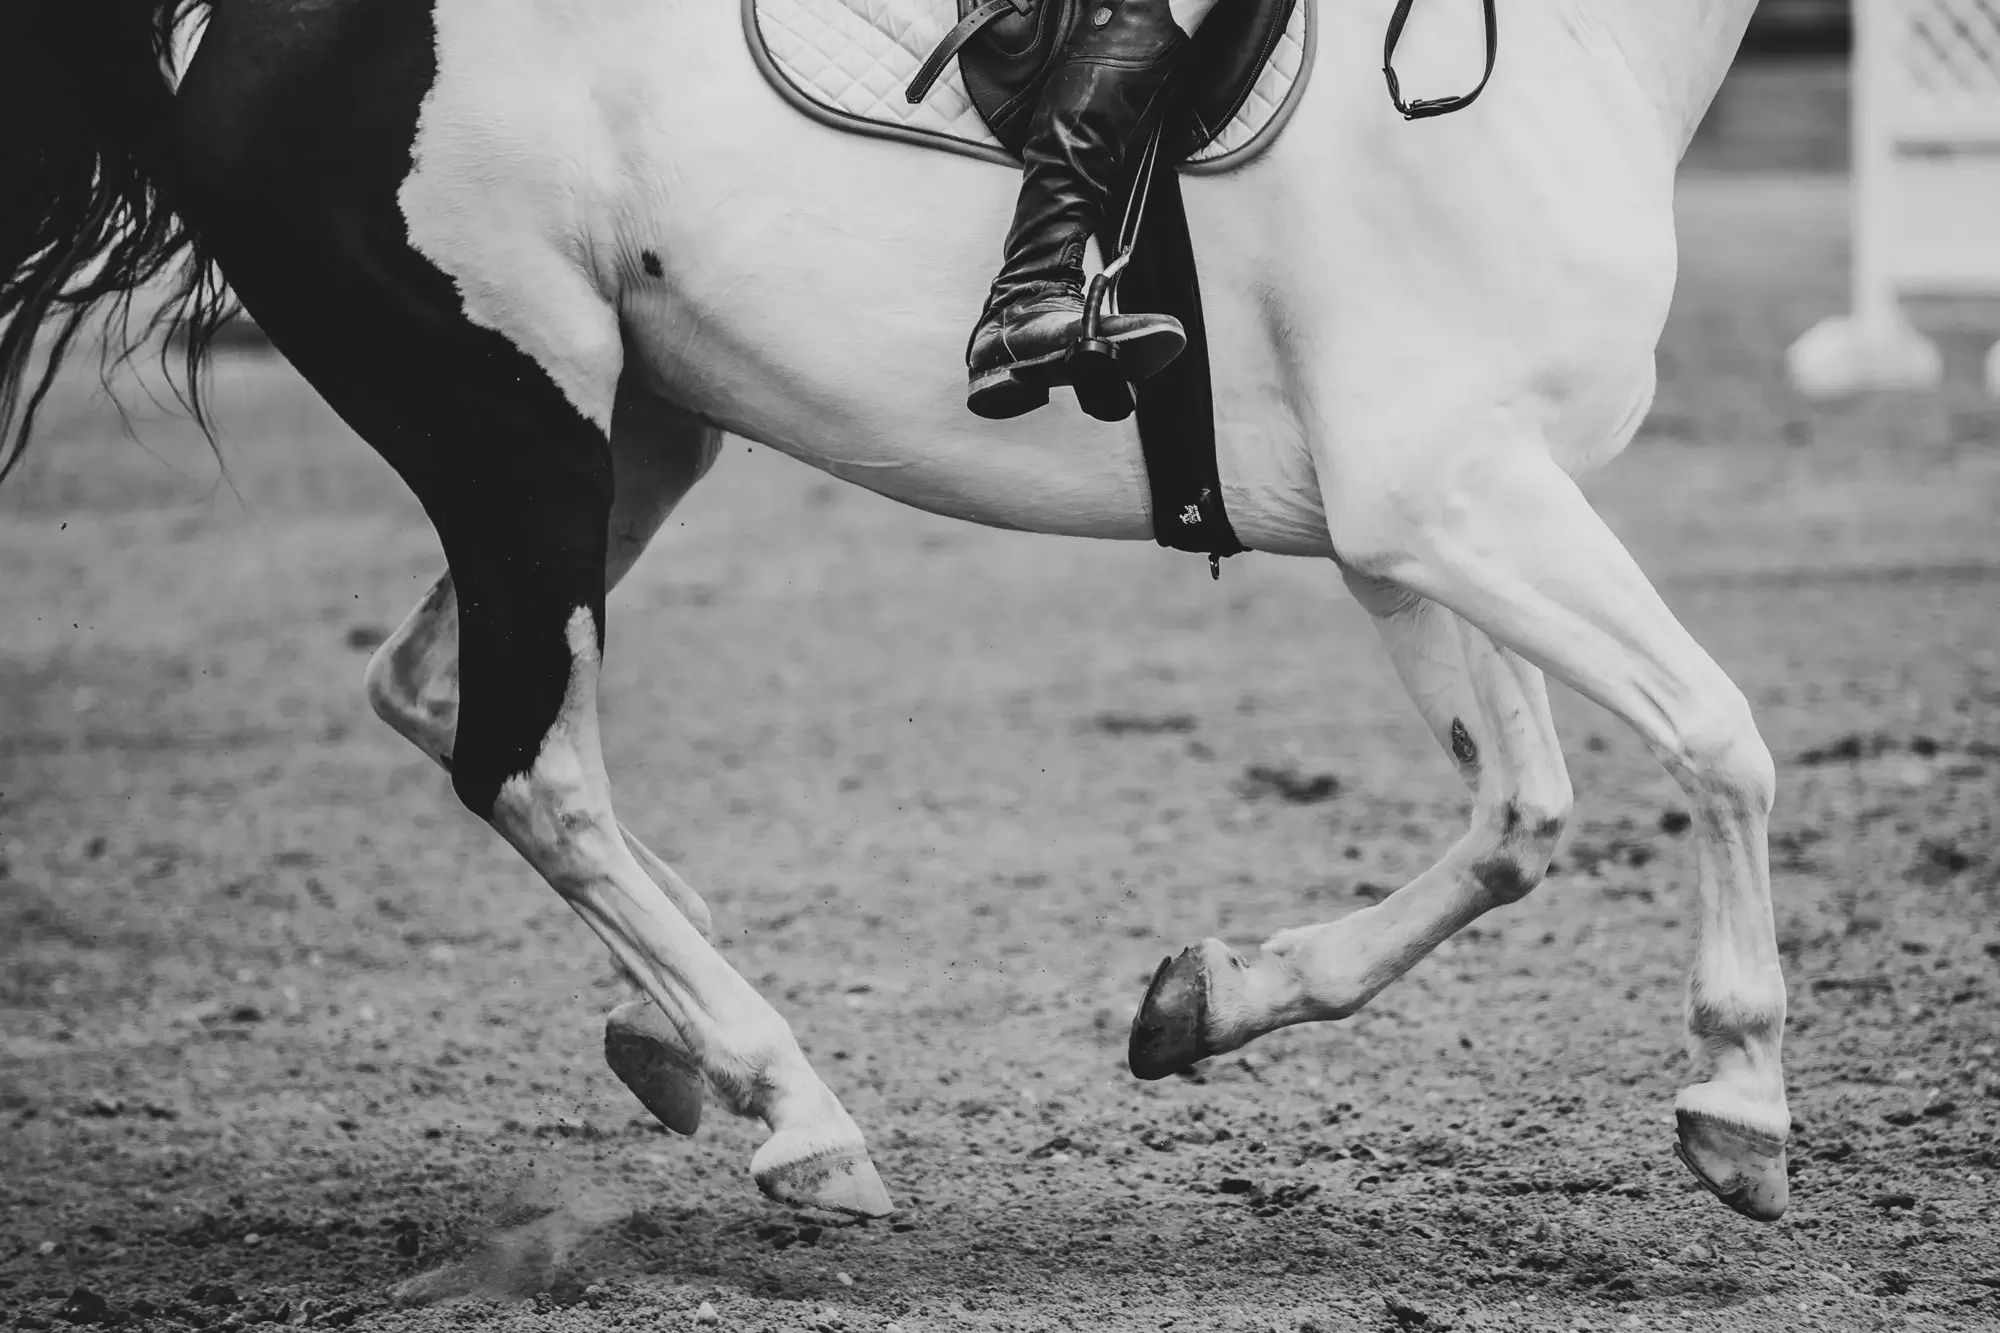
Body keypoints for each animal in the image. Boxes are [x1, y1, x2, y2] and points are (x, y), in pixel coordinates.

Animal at [0, 0, 1790, 1225]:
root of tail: (227, 29)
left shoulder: (1419, 514)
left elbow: (1519, 813)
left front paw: (1207, 1000)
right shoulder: (1443, 492)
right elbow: (1721, 739)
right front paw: (1741, 1100)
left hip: (629, 433)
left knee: (432, 687)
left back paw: (674, 1026)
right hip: (513, 423)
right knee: (530, 761)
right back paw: (796, 1109)